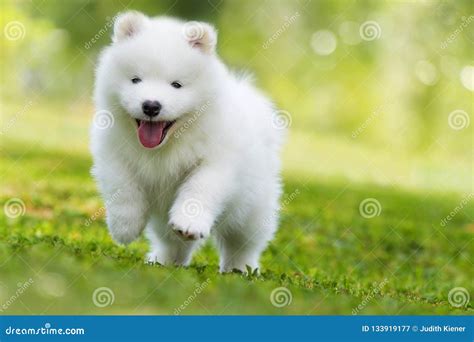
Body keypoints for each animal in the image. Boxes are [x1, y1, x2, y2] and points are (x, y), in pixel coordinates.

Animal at [91, 10, 286, 272]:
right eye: (135, 80)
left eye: (176, 85)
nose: (151, 105)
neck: (167, 145)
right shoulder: (112, 152)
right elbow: (122, 187)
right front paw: (124, 227)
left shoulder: (217, 161)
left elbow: (200, 188)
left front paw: (189, 223)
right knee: (172, 242)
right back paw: (164, 261)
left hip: (252, 208)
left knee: (243, 242)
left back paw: (240, 269)